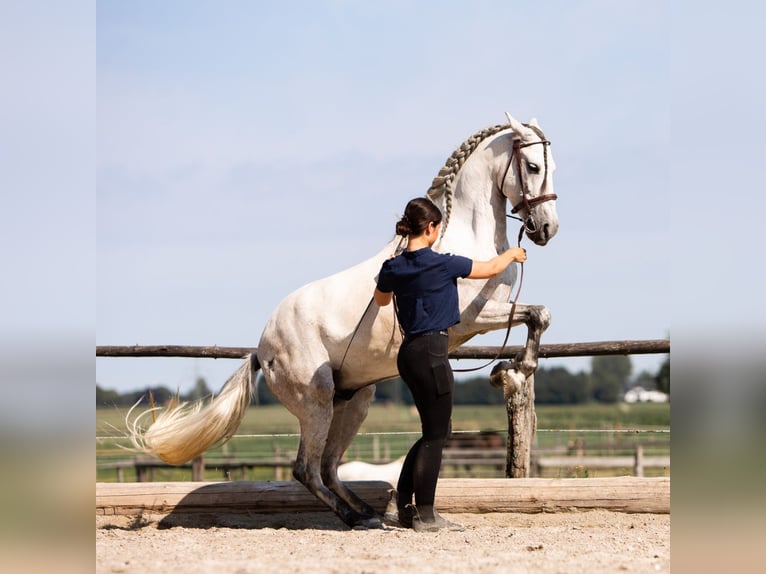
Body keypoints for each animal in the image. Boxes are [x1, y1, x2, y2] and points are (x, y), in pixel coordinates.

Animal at [129, 112, 560, 532]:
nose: (546, 229)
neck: (461, 237)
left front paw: (509, 370)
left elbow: (539, 315)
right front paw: (515, 371)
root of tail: (261, 350)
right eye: (533, 166)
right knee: (307, 470)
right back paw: (356, 517)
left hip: (352, 402)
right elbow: (538, 314)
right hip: (316, 403)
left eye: (552, 166)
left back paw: (371, 513)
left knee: (329, 467)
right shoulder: (471, 318)